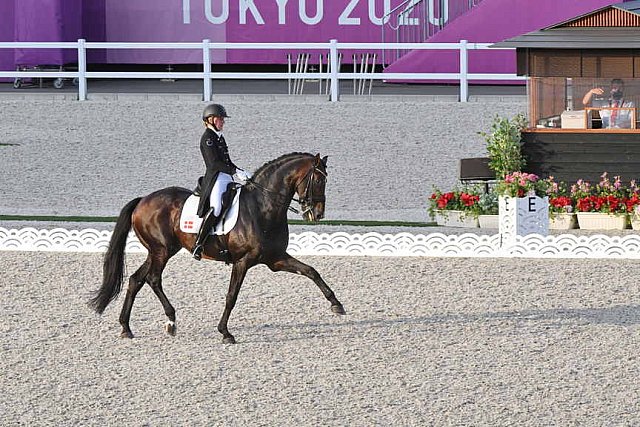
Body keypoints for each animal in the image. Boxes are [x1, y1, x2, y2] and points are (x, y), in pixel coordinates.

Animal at [90, 153, 344, 344]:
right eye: (318, 180)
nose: (317, 214)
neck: (263, 207)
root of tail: (143, 200)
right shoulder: (243, 261)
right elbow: (232, 296)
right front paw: (225, 332)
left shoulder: (276, 259)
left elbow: (311, 271)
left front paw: (336, 304)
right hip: (161, 251)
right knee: (153, 279)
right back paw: (171, 321)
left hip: (159, 251)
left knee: (136, 279)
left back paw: (126, 327)